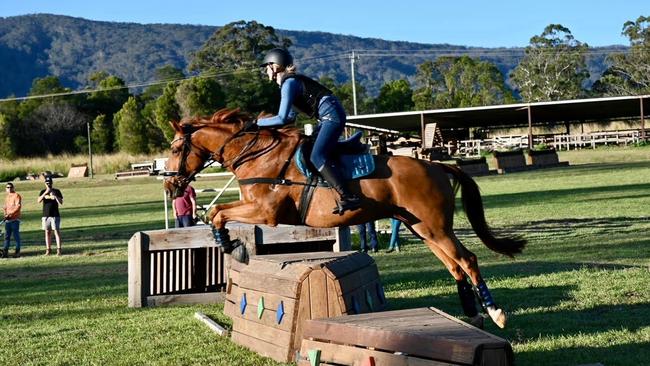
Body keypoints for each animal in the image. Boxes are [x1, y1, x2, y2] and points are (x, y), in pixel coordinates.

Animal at [165, 108, 524, 328]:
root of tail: (436, 165)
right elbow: (216, 213)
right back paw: (473, 315)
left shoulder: (266, 212)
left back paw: (495, 313)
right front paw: (233, 247)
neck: (256, 154)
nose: (170, 185)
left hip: (435, 228)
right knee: (455, 265)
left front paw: (234, 249)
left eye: (175, 148)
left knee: (468, 259)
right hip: (423, 228)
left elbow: (217, 214)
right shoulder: (253, 207)